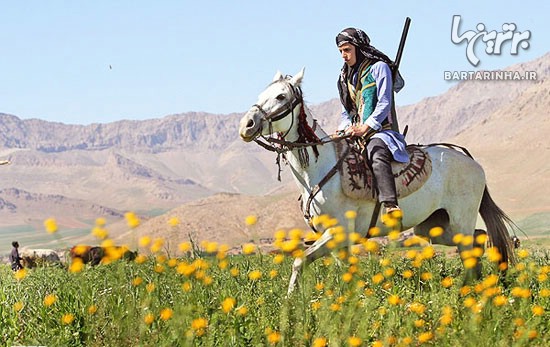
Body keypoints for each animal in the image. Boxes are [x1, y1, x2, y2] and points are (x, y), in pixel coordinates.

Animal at [238, 69, 516, 294]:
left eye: (281, 96)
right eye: (263, 93)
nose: (246, 125)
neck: (321, 170)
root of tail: (471, 161)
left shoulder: (337, 232)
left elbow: (299, 261)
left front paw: (290, 303)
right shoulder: (337, 241)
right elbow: (345, 270)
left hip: (460, 220)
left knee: (471, 246)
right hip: (432, 226)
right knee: (478, 239)